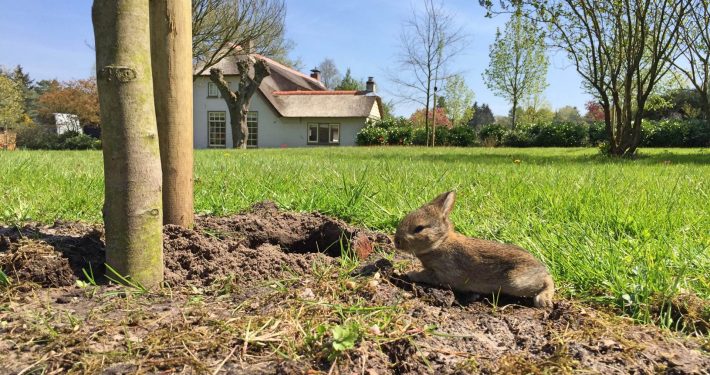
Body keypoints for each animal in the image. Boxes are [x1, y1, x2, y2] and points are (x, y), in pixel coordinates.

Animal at [394, 191, 556, 308]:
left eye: (419, 228)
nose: (396, 242)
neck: (440, 242)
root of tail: (541, 267)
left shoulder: (446, 272)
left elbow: (428, 275)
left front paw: (411, 274)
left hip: (515, 281)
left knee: (547, 280)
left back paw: (542, 301)